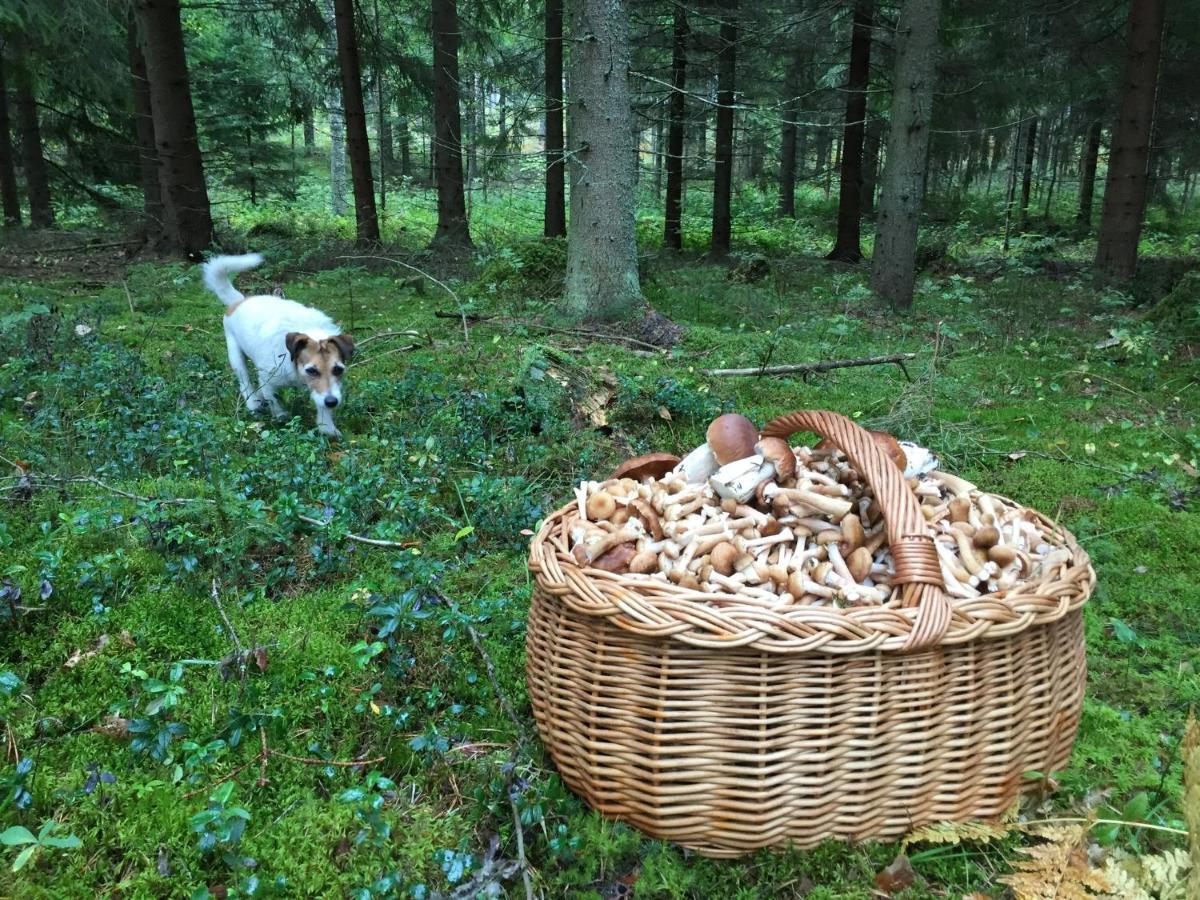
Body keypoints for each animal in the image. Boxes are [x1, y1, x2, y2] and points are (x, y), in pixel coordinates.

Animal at [199, 254, 350, 441]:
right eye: (311, 370)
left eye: (338, 369)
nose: (332, 402)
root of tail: (239, 300)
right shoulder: (267, 380)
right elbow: (274, 401)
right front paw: (281, 417)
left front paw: (327, 426)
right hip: (235, 354)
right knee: (244, 381)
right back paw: (253, 402)